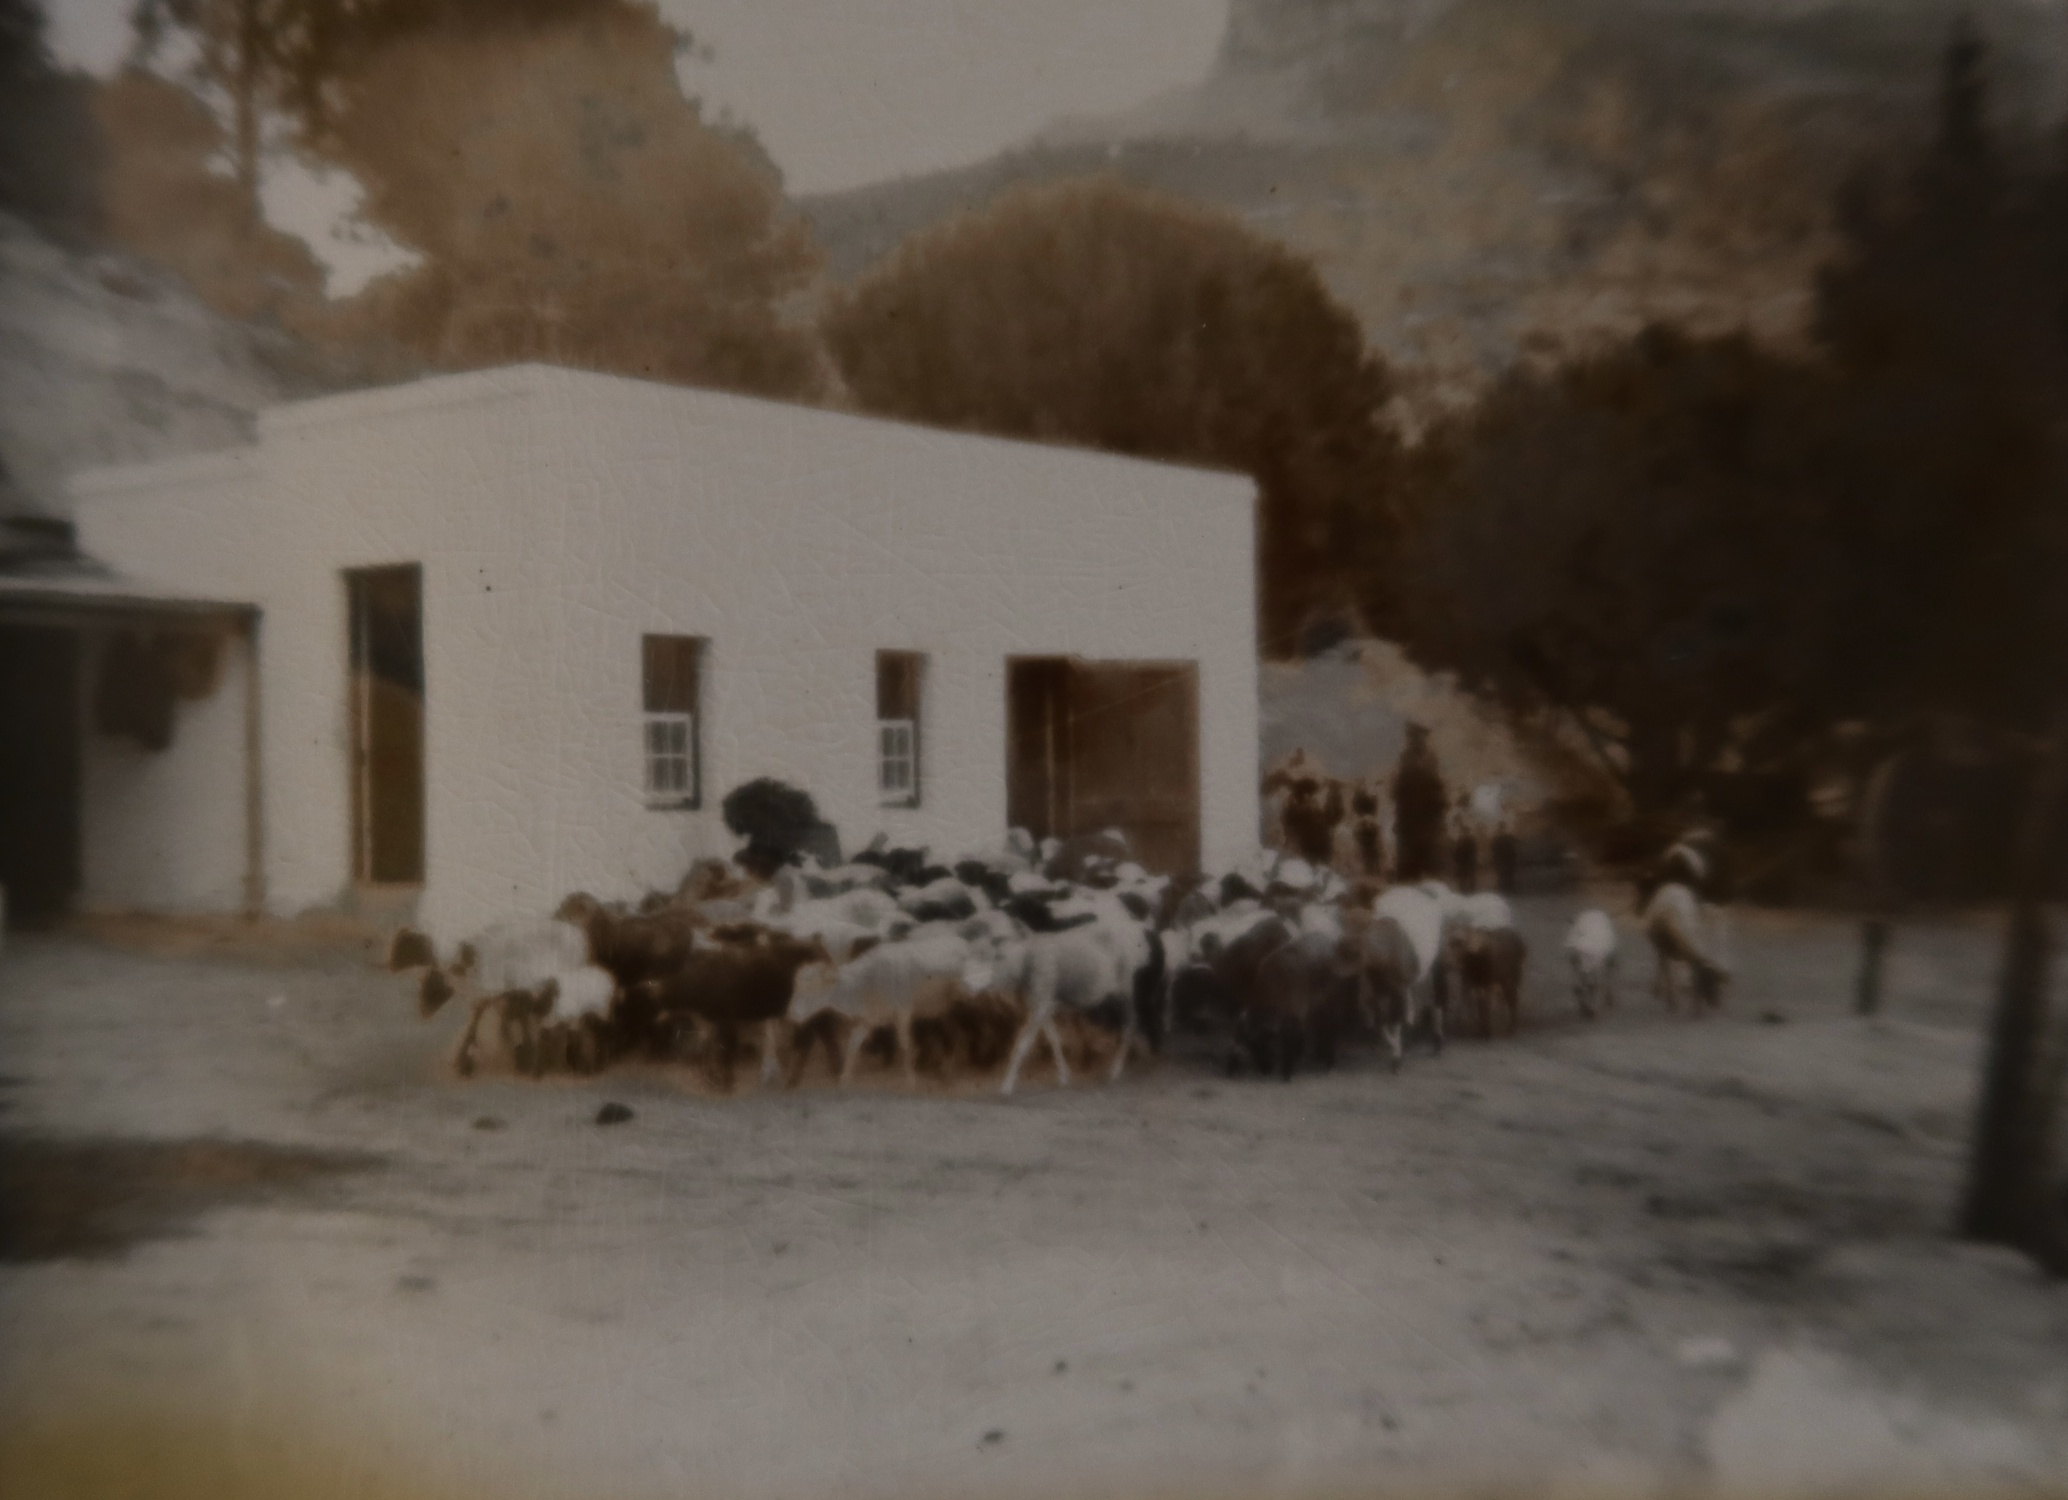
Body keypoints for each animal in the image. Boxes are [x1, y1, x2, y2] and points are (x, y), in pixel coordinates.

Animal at [1642, 882, 1730, 1013]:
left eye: (1715, 980)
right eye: (1707, 980)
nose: (1716, 1005)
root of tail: (1674, 884)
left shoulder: (1689, 956)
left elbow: (1692, 977)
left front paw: (1695, 1008)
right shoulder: (1664, 950)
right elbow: (1669, 976)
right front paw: (1673, 1003)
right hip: (1661, 949)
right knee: (1661, 966)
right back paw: (1659, 990)